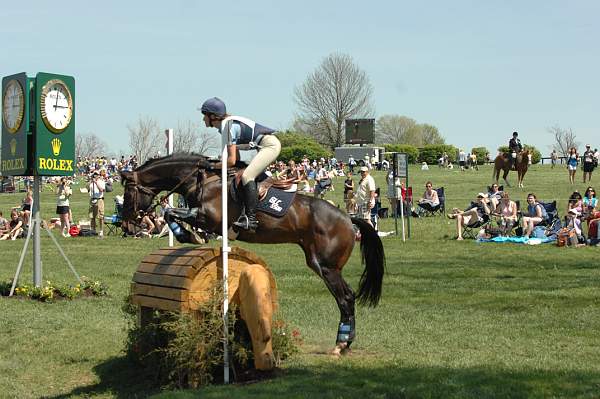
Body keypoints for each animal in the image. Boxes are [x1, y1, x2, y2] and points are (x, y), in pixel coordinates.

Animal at [120, 154, 384, 356]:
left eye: (128, 193)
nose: (127, 225)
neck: (200, 180)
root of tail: (349, 218)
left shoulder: (208, 218)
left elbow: (171, 212)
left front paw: (188, 235)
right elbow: (171, 213)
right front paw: (190, 236)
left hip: (327, 267)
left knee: (346, 297)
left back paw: (341, 344)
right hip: (318, 262)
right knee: (345, 298)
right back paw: (345, 343)